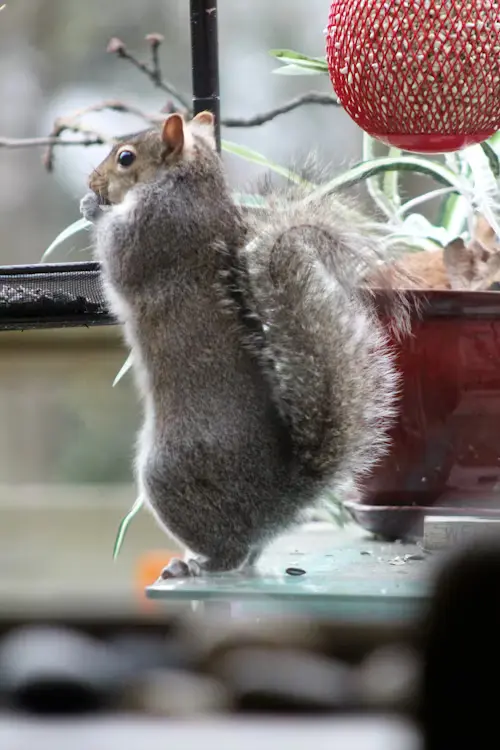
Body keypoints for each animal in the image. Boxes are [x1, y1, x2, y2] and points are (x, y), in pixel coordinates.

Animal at [80, 111, 402, 578]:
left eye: (125, 158)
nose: (92, 181)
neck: (194, 185)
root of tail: (277, 501)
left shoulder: (155, 231)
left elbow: (116, 255)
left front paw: (92, 208)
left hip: (168, 473)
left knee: (228, 548)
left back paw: (194, 565)